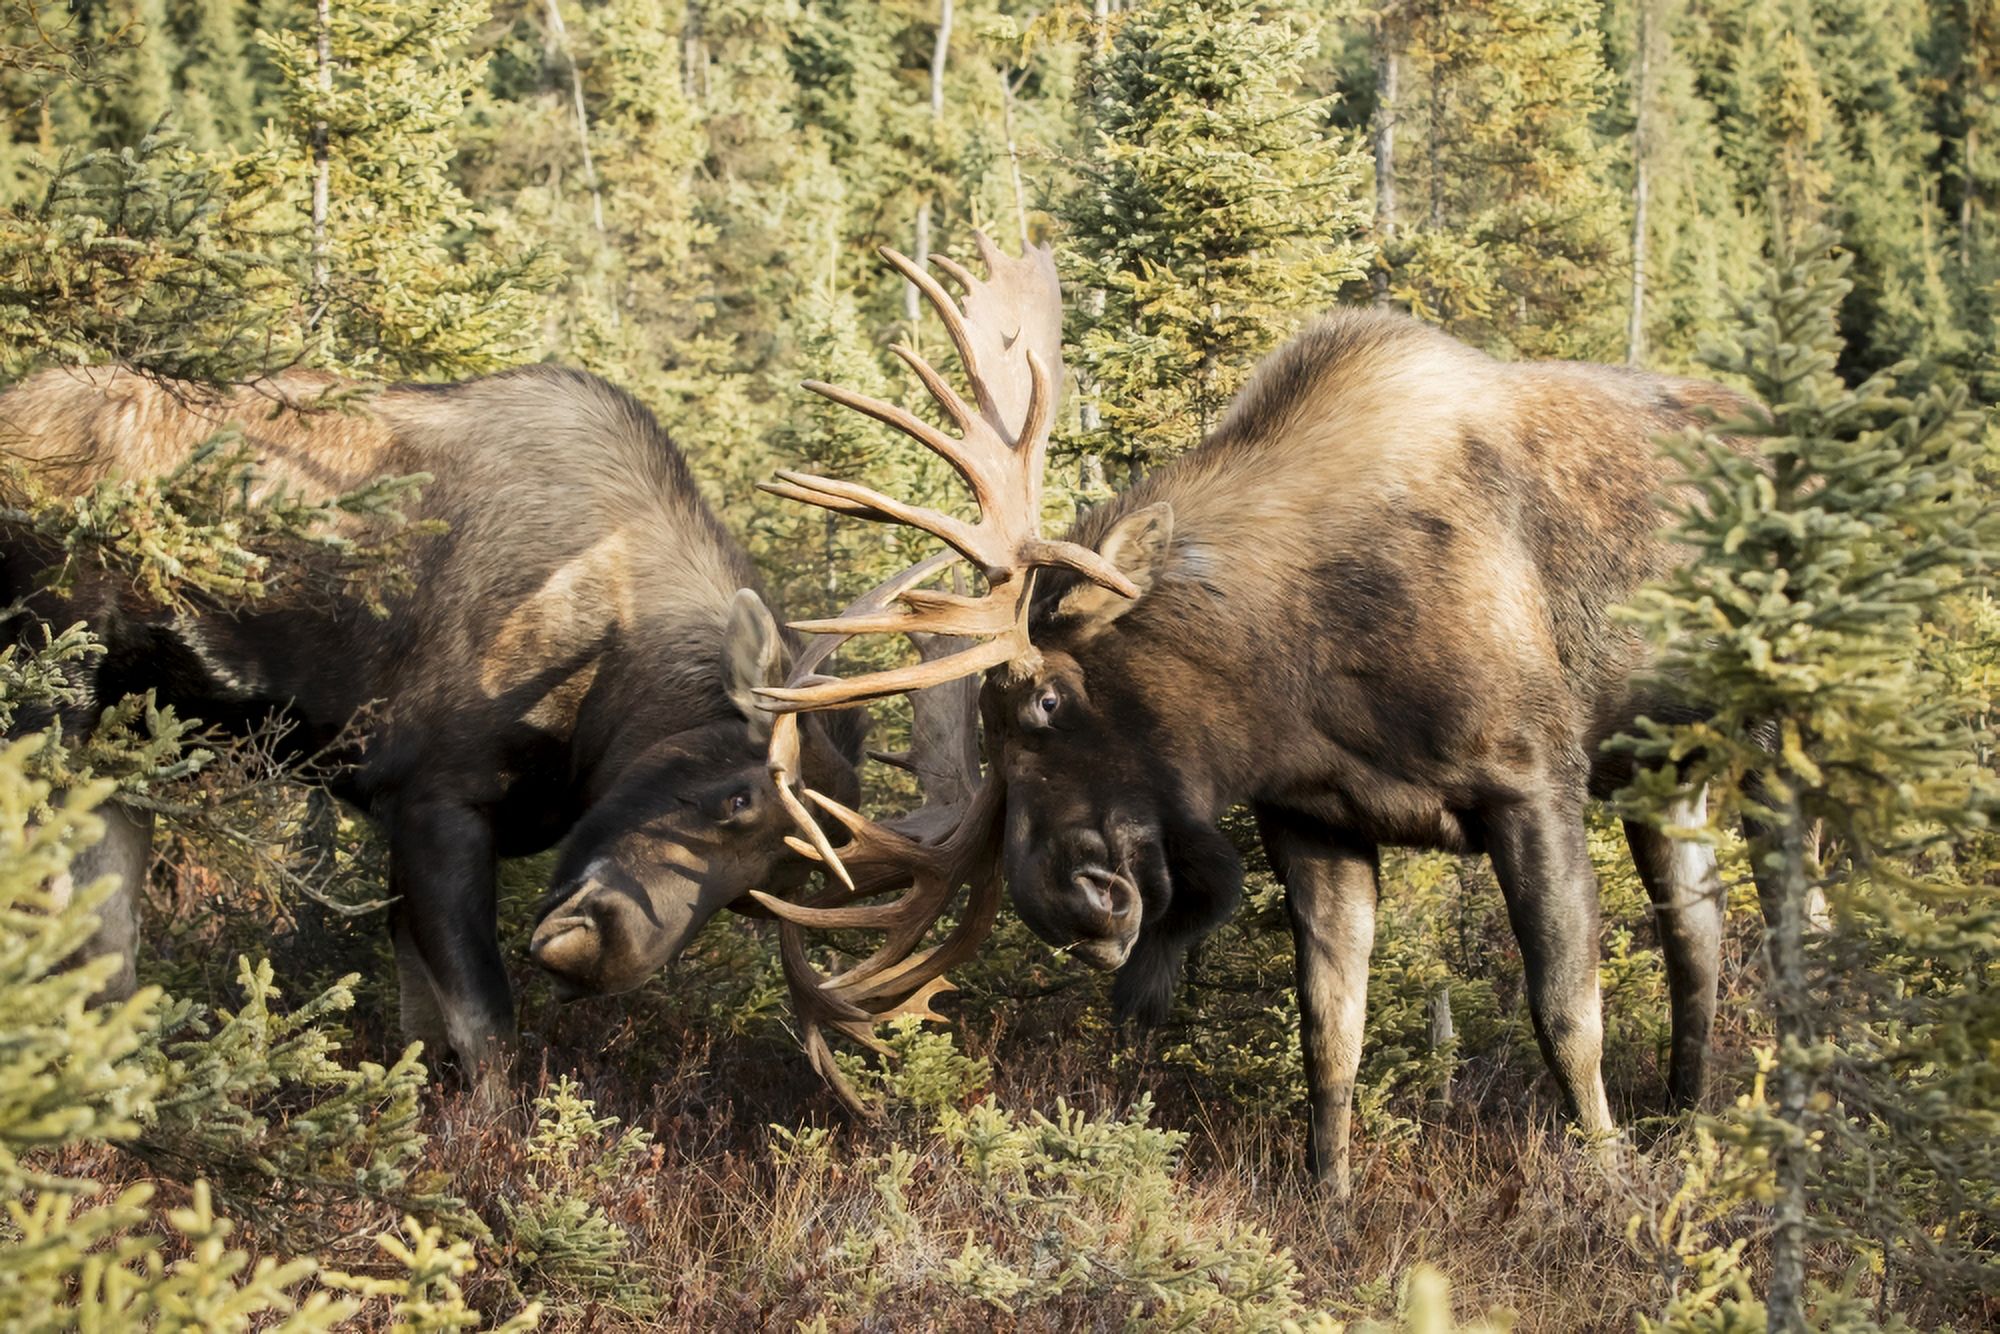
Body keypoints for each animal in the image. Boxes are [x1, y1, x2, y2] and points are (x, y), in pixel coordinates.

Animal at [0, 362, 860, 1072]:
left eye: (759, 896)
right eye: (737, 798)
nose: (597, 958)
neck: (604, 689)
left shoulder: (406, 822)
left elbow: (420, 1034)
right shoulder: (436, 802)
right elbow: (486, 1031)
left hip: (122, 748)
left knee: (105, 954)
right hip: (49, 694)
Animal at [744, 237, 1744, 1200]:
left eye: (1048, 699)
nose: (1064, 906)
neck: (1309, 676)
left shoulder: (1534, 782)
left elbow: (1567, 1013)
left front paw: (1607, 1183)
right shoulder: (1314, 818)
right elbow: (1329, 1031)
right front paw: (1328, 1194)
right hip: (1671, 777)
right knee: (1699, 934)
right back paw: (1689, 1122)